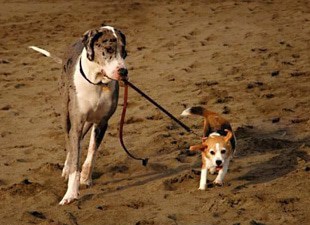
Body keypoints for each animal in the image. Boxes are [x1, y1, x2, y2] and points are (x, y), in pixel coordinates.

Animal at [30, 25, 128, 205]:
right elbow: (75, 156)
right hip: (65, 115)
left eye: (125, 53)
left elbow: (92, 153)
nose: (123, 71)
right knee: (69, 141)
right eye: (109, 49)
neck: (97, 83)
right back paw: (66, 168)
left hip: (88, 121)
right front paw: (70, 194)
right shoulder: (76, 122)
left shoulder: (102, 122)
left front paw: (85, 178)